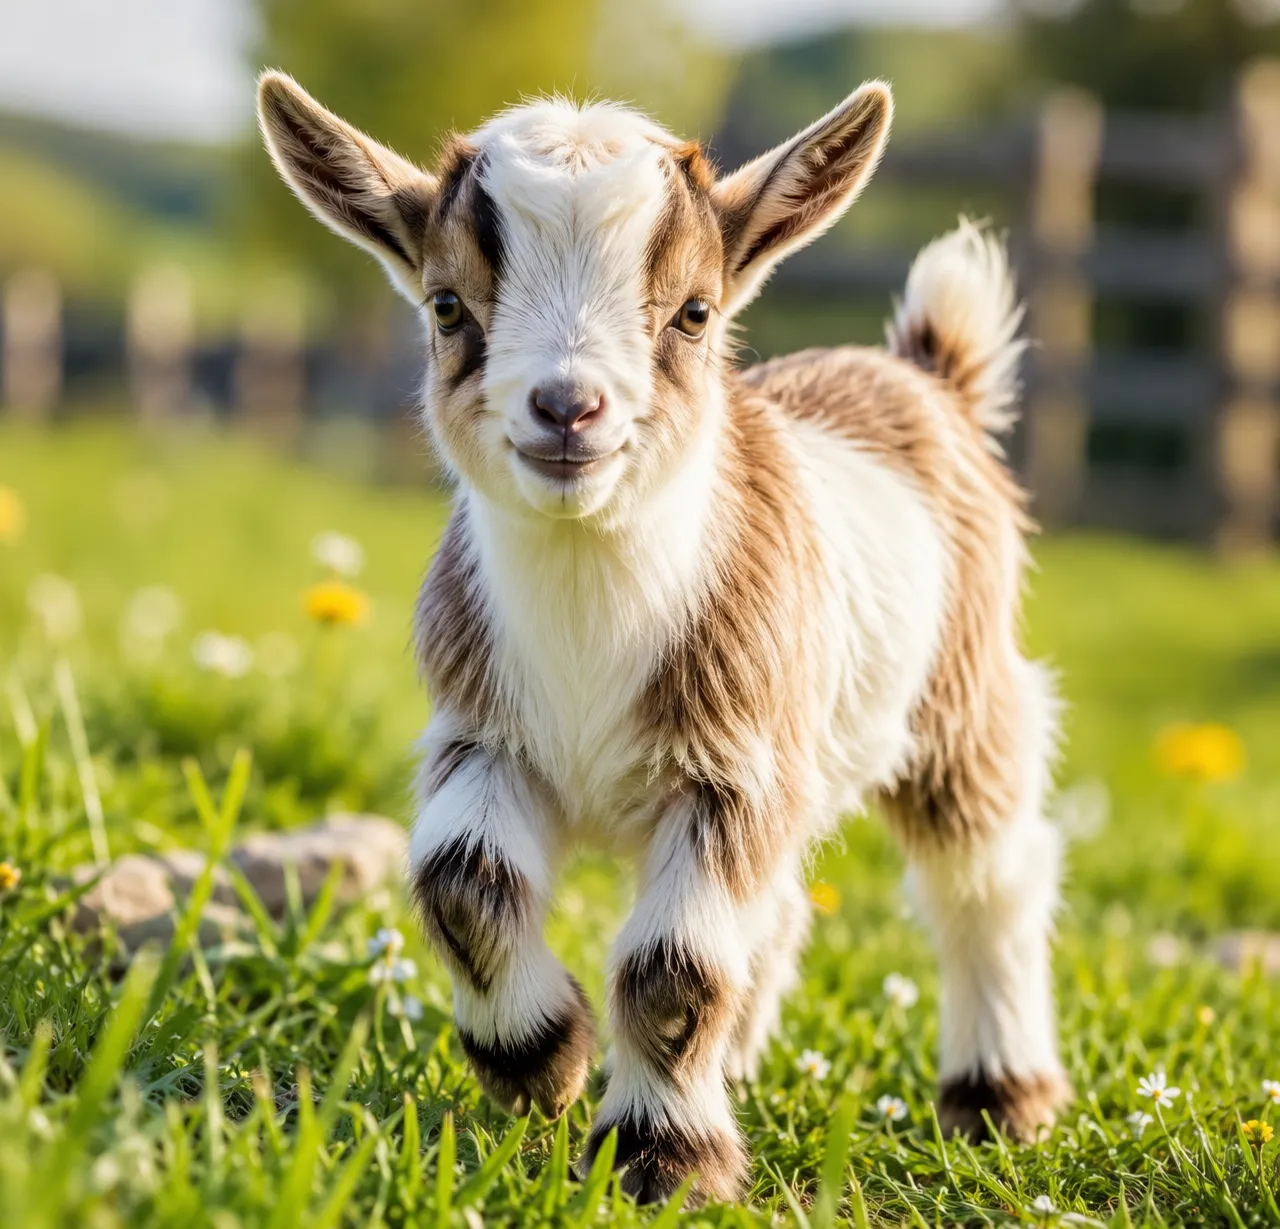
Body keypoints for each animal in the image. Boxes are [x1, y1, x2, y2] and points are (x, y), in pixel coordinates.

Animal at [258, 72, 1070, 1205]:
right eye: (447, 304)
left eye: (693, 311)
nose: (568, 407)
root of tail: (926, 374)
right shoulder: (486, 732)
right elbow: (464, 883)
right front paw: (540, 1057)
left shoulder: (730, 767)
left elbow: (673, 966)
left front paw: (659, 1157)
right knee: (783, 908)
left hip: (963, 696)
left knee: (988, 871)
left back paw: (998, 1093)